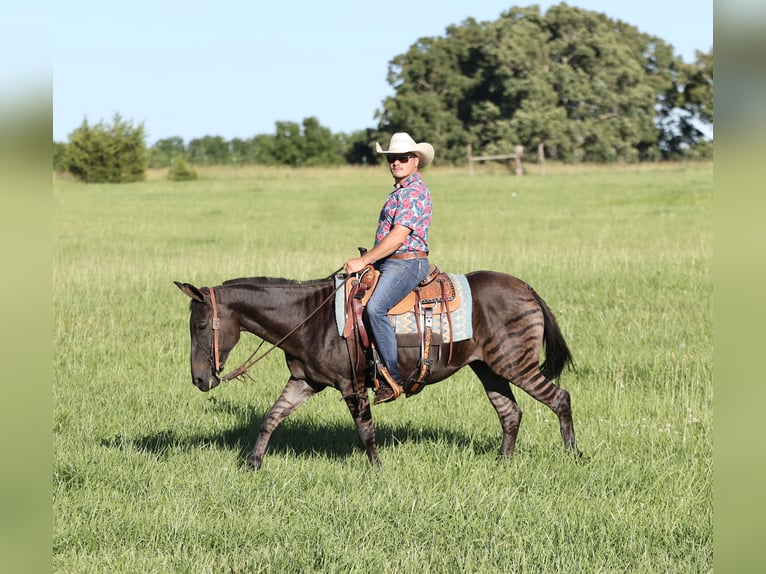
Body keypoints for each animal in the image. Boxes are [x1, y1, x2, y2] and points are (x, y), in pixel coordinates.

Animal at [176, 272, 584, 470]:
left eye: (200, 325)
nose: (199, 379)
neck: (309, 318)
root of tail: (527, 288)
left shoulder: (351, 385)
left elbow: (366, 431)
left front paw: (377, 471)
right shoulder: (304, 381)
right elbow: (270, 418)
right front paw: (253, 464)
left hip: (516, 364)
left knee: (560, 398)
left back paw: (573, 455)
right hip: (489, 368)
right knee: (509, 412)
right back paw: (503, 462)